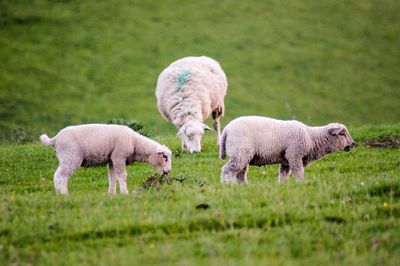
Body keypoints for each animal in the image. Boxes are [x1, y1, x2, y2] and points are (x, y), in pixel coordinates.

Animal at [39, 123, 172, 194]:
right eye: (165, 157)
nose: (168, 171)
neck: (135, 142)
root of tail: (55, 139)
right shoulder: (119, 156)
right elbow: (122, 176)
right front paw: (125, 193)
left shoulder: (111, 160)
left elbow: (112, 178)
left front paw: (112, 194)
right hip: (70, 157)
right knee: (60, 176)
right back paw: (64, 194)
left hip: (67, 158)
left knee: (60, 175)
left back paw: (59, 193)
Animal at [220, 115, 354, 184]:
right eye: (342, 134)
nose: (353, 143)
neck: (311, 137)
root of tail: (226, 130)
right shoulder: (294, 155)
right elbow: (299, 172)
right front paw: (301, 184)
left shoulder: (286, 160)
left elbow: (284, 175)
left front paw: (282, 186)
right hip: (240, 152)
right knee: (228, 170)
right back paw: (228, 185)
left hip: (242, 154)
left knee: (240, 173)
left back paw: (243, 186)